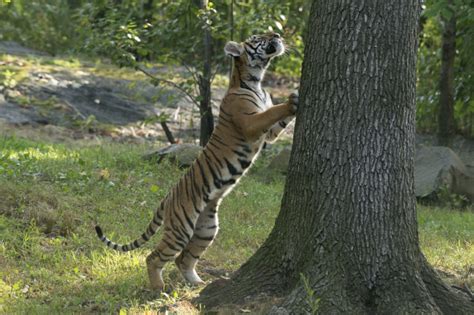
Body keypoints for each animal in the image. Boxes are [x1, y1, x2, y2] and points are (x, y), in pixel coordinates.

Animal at [94, 32, 298, 292]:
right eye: (257, 37)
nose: (277, 35)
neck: (256, 80)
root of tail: (166, 198)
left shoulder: (269, 134)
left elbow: (279, 121)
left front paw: (295, 97)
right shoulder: (250, 123)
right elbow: (272, 112)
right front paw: (290, 101)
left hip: (206, 229)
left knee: (183, 259)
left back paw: (197, 283)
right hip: (181, 228)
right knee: (154, 257)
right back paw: (159, 289)